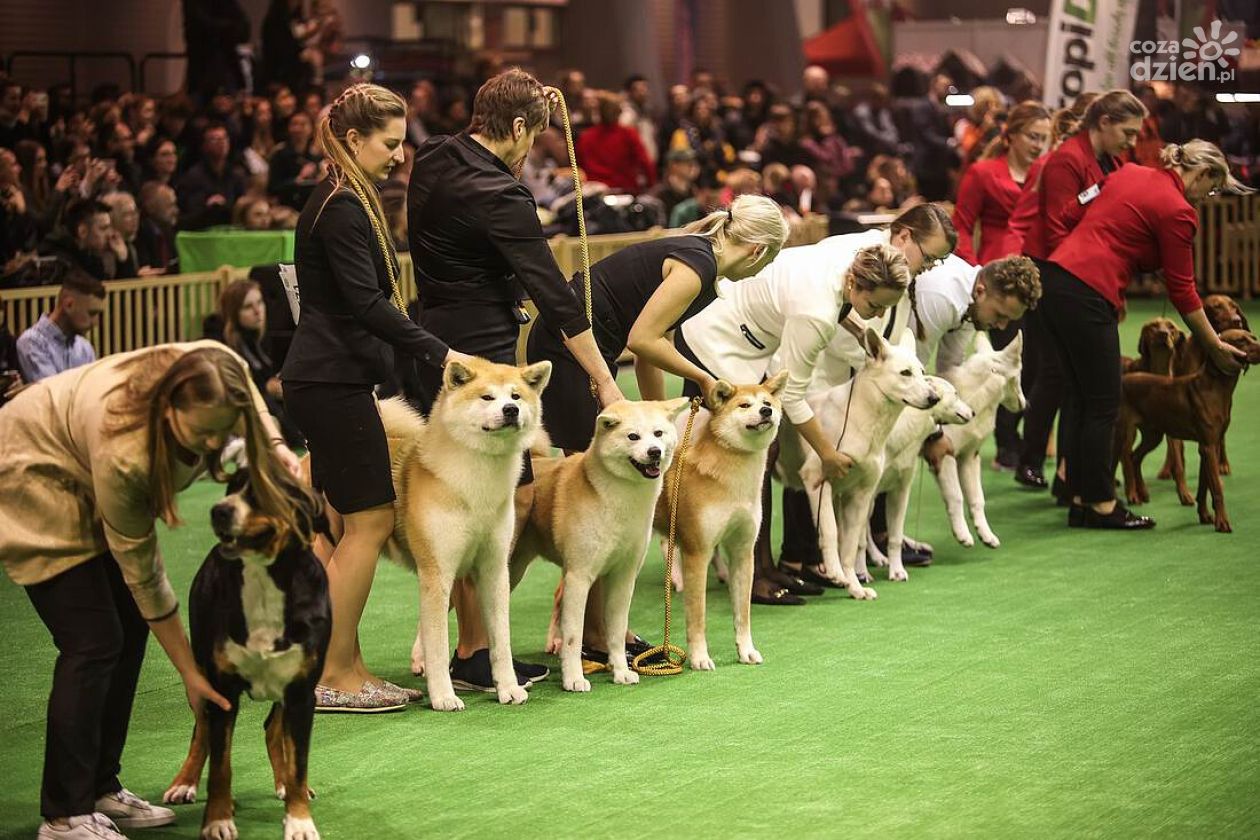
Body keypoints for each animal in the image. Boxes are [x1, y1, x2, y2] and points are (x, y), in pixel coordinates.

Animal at [375, 357, 549, 715]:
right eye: (487, 397)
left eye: (516, 395)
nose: (510, 410)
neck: (476, 485)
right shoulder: (436, 573)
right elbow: (440, 644)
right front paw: (443, 696)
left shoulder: (495, 570)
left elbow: (501, 641)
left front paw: (508, 689)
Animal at [655, 375, 781, 669]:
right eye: (745, 405)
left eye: (767, 402)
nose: (766, 411)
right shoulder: (697, 552)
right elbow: (697, 616)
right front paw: (700, 658)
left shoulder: (742, 551)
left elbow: (743, 613)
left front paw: (746, 651)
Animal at [776, 327, 937, 596]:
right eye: (905, 373)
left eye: (923, 373)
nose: (934, 397)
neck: (860, 418)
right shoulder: (818, 482)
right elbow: (831, 533)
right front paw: (836, 574)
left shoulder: (861, 494)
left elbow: (850, 547)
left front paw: (855, 588)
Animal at [937, 332, 1023, 549]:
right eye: (1019, 377)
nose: (1025, 404)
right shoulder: (944, 455)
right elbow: (956, 496)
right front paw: (962, 534)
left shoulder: (969, 457)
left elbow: (977, 499)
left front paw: (985, 534)